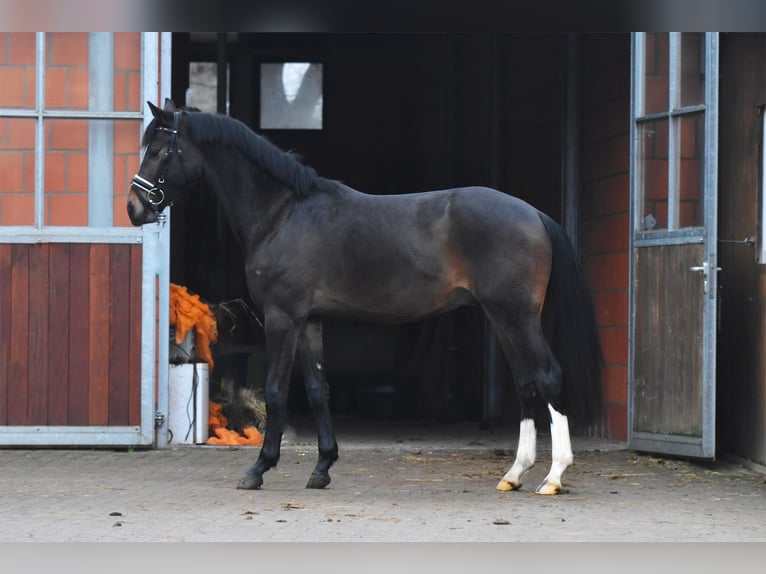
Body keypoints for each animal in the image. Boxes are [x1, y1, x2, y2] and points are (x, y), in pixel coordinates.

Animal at [129, 99, 604, 496]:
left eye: (159, 151)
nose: (135, 209)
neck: (283, 213)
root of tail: (533, 213)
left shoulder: (282, 317)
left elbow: (278, 390)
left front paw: (259, 469)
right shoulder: (309, 320)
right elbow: (318, 389)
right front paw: (322, 468)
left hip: (516, 316)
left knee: (549, 378)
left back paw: (553, 477)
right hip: (502, 317)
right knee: (527, 385)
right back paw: (514, 475)